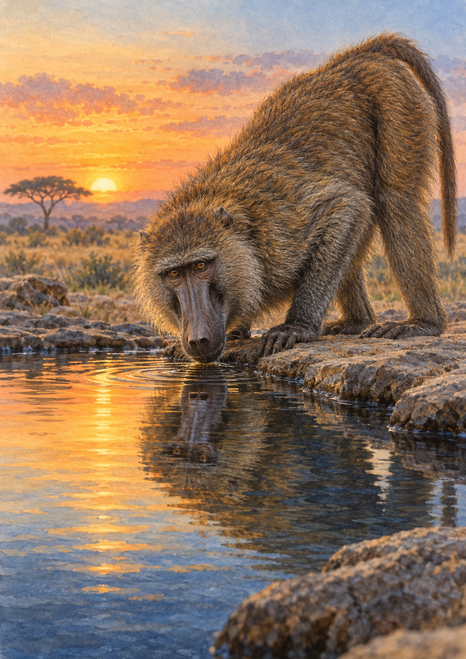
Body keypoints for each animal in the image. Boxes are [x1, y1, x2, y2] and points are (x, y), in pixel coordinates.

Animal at [133, 33, 456, 364]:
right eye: (174, 273)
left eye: (200, 266)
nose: (198, 339)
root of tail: (348, 60)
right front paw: (237, 330)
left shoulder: (282, 228)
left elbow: (347, 205)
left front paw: (296, 327)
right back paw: (358, 321)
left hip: (394, 94)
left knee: (396, 203)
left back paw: (423, 323)